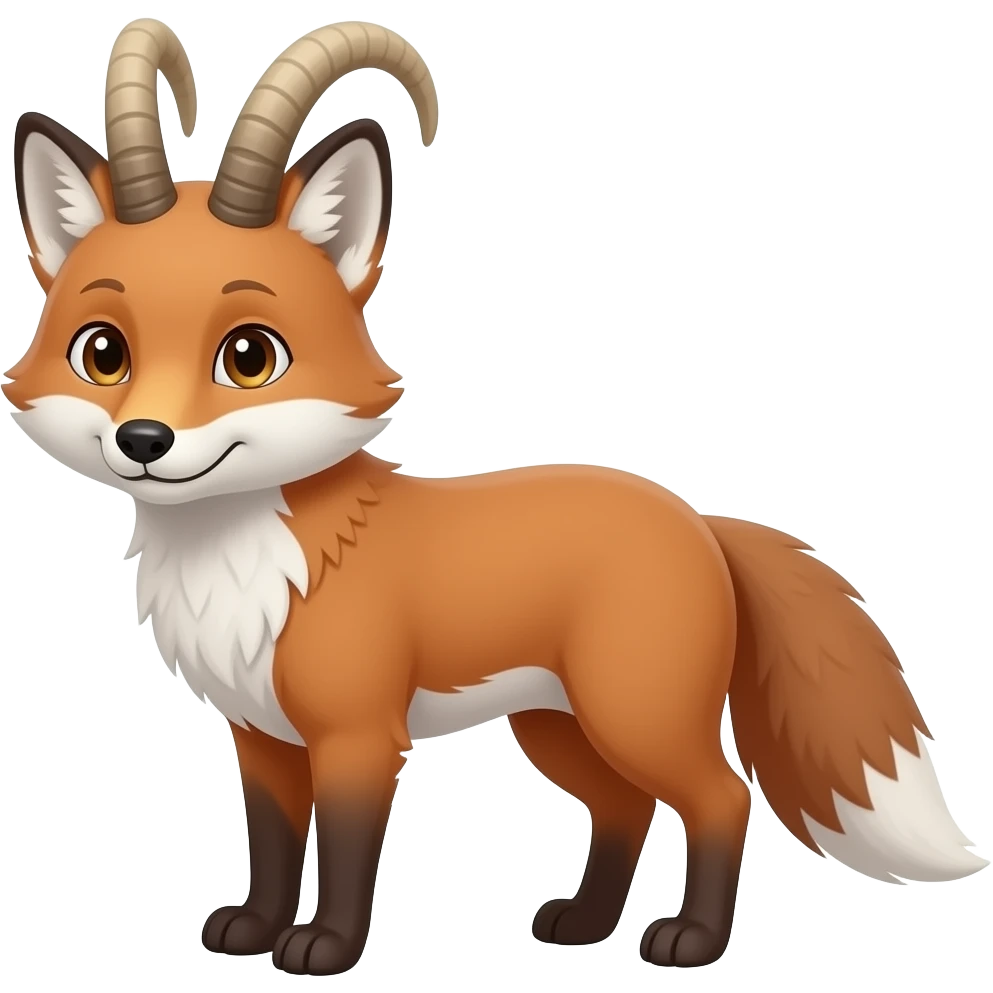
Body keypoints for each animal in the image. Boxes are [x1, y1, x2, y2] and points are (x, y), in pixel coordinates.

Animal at [5, 16, 988, 978]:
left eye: (249, 356)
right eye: (103, 352)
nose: (145, 442)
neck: (255, 563)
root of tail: (698, 518)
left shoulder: (360, 734)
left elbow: (348, 847)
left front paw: (325, 947)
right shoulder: (262, 735)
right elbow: (277, 841)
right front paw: (253, 928)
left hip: (634, 714)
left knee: (721, 795)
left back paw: (690, 941)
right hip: (558, 727)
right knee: (624, 809)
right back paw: (584, 922)